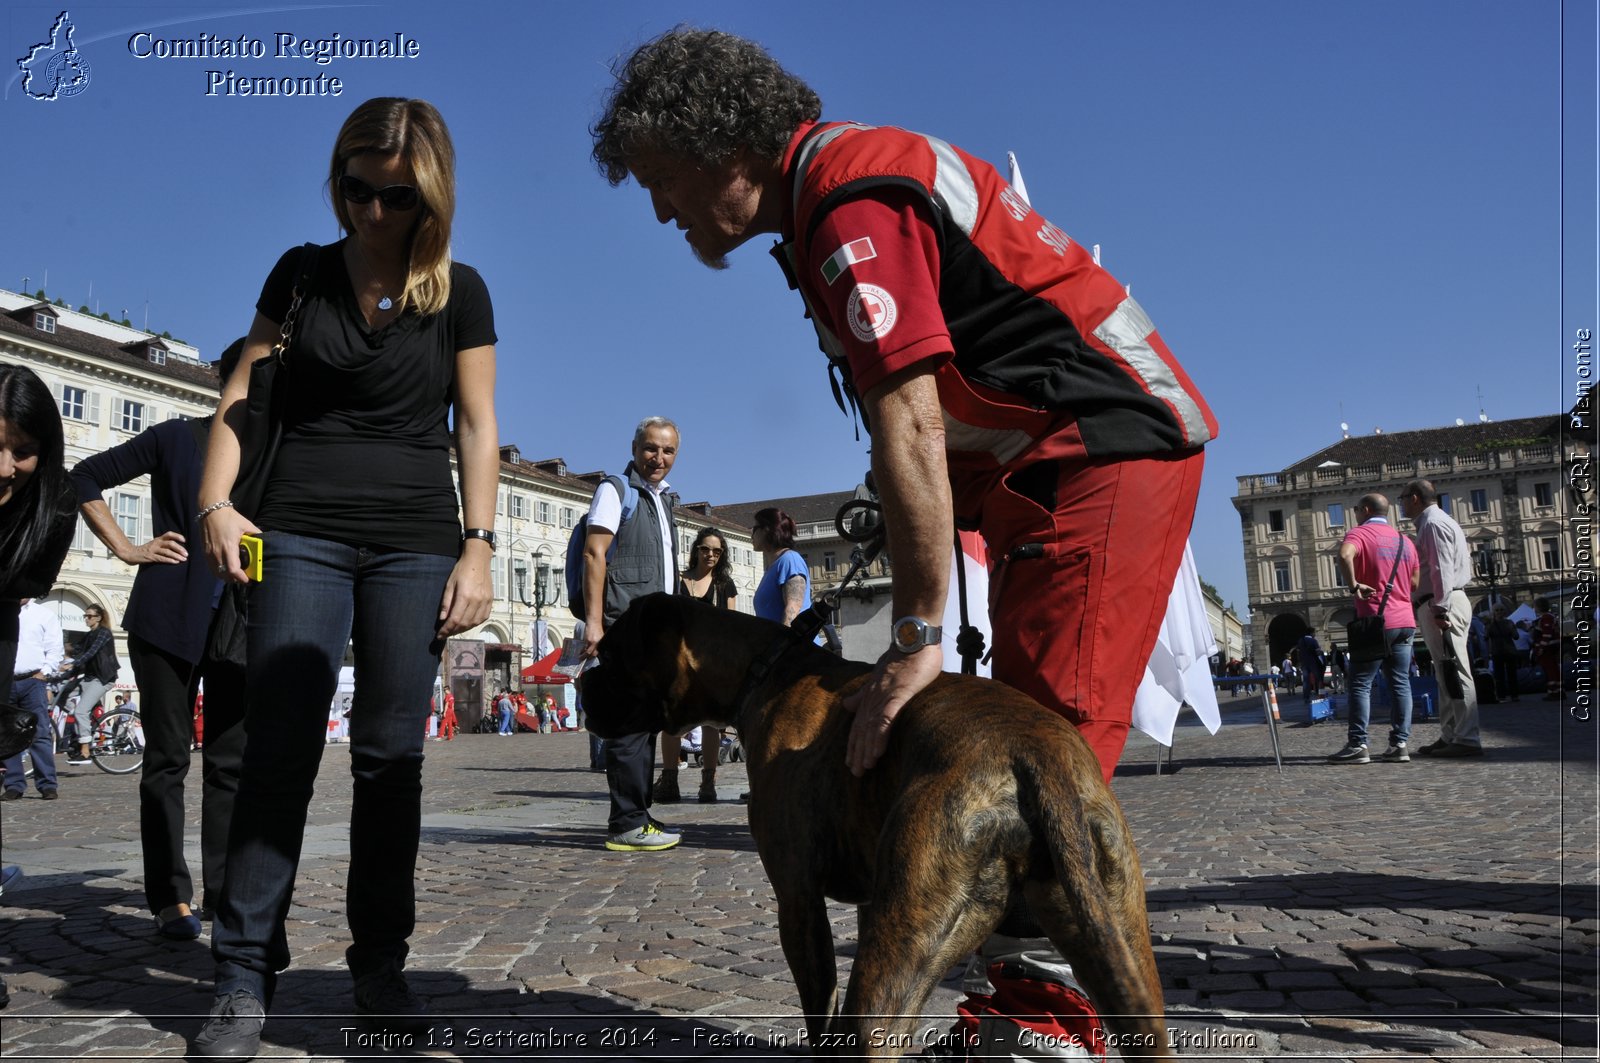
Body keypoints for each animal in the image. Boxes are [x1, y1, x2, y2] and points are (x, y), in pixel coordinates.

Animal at [582, 592, 1171, 1056]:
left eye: (609, 653)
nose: (583, 689)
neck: (764, 670)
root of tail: (1031, 753)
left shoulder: (798, 902)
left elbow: (822, 1010)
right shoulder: (869, 904)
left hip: (899, 957)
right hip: (1121, 954)